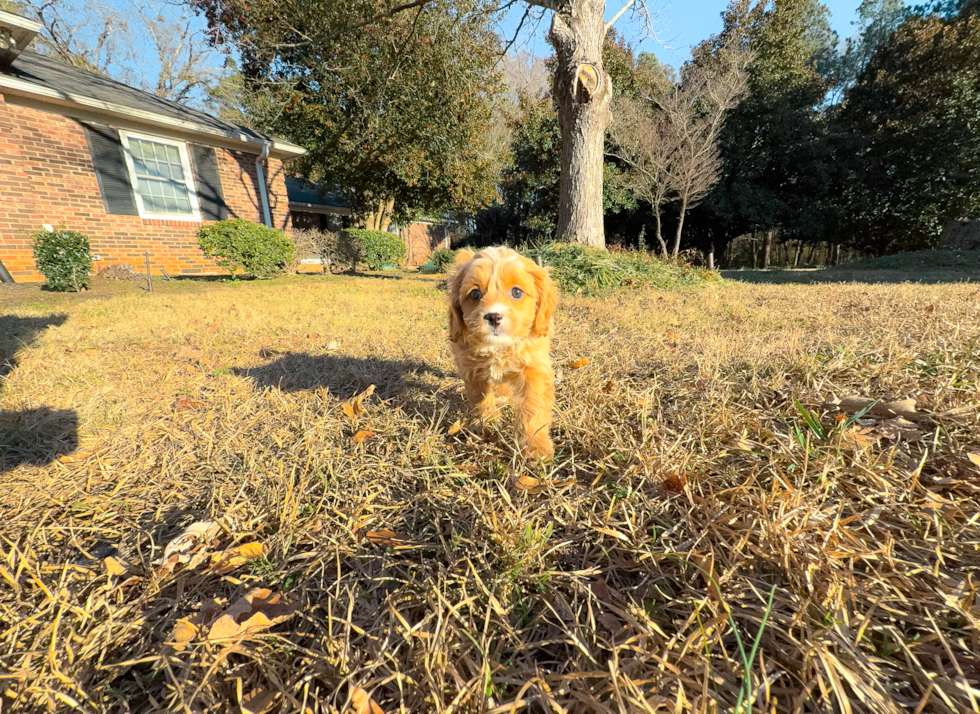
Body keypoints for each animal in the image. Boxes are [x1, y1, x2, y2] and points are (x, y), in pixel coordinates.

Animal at [446, 245, 556, 456]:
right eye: (474, 294)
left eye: (517, 292)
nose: (493, 317)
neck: (498, 348)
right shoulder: (471, 370)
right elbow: (480, 398)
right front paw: (489, 423)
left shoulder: (534, 369)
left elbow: (532, 407)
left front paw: (535, 447)